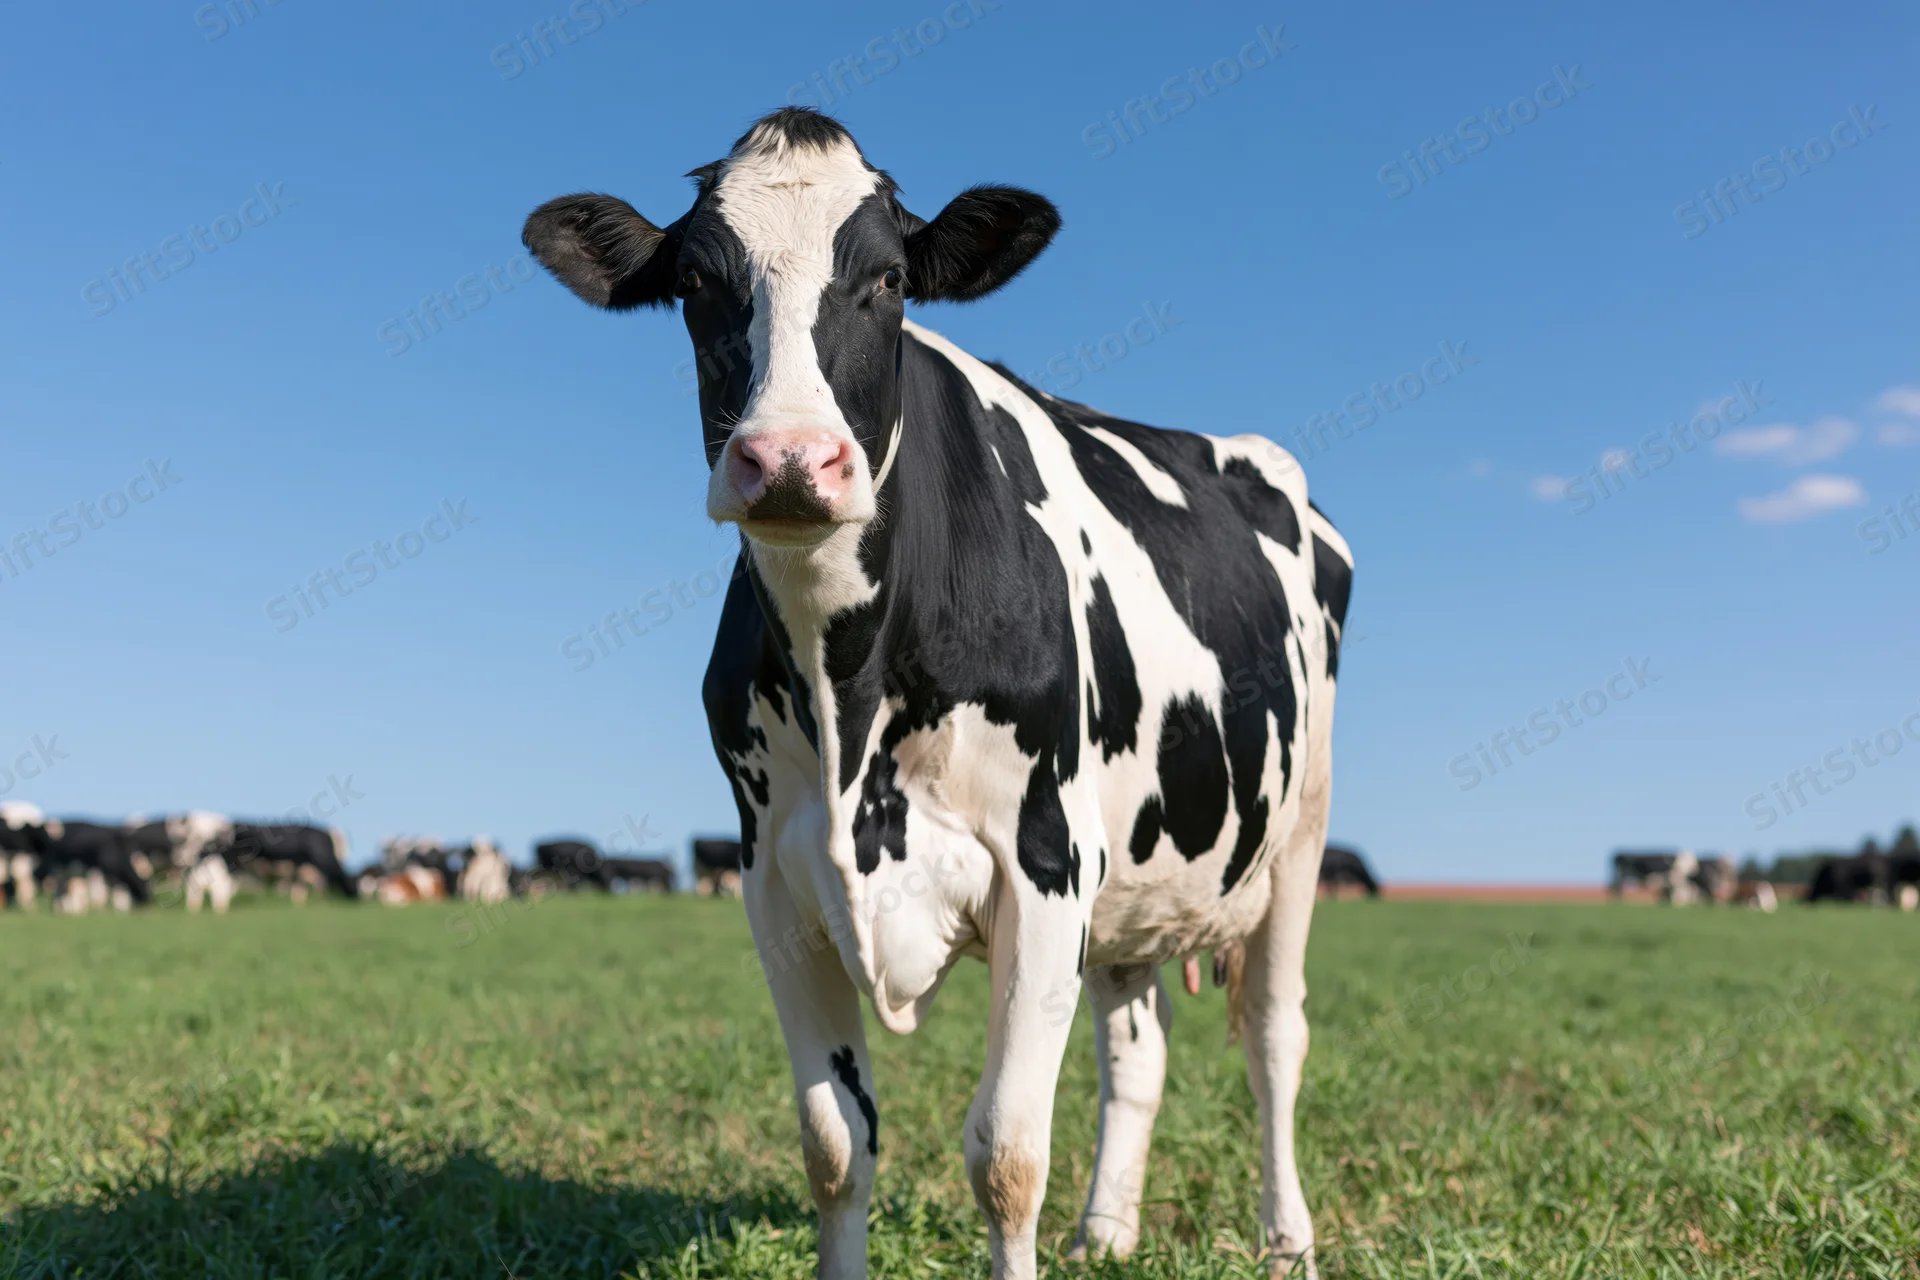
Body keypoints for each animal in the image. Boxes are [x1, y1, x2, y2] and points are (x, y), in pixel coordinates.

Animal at [523, 108, 1352, 1278]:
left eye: (887, 280)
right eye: (694, 281)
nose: (789, 459)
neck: (849, 688)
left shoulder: (1047, 859)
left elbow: (1005, 1152)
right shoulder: (773, 880)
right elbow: (835, 1146)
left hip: (1298, 834)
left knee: (1277, 1035)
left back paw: (1286, 1240)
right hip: (1135, 872)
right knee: (1135, 1043)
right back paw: (1107, 1233)